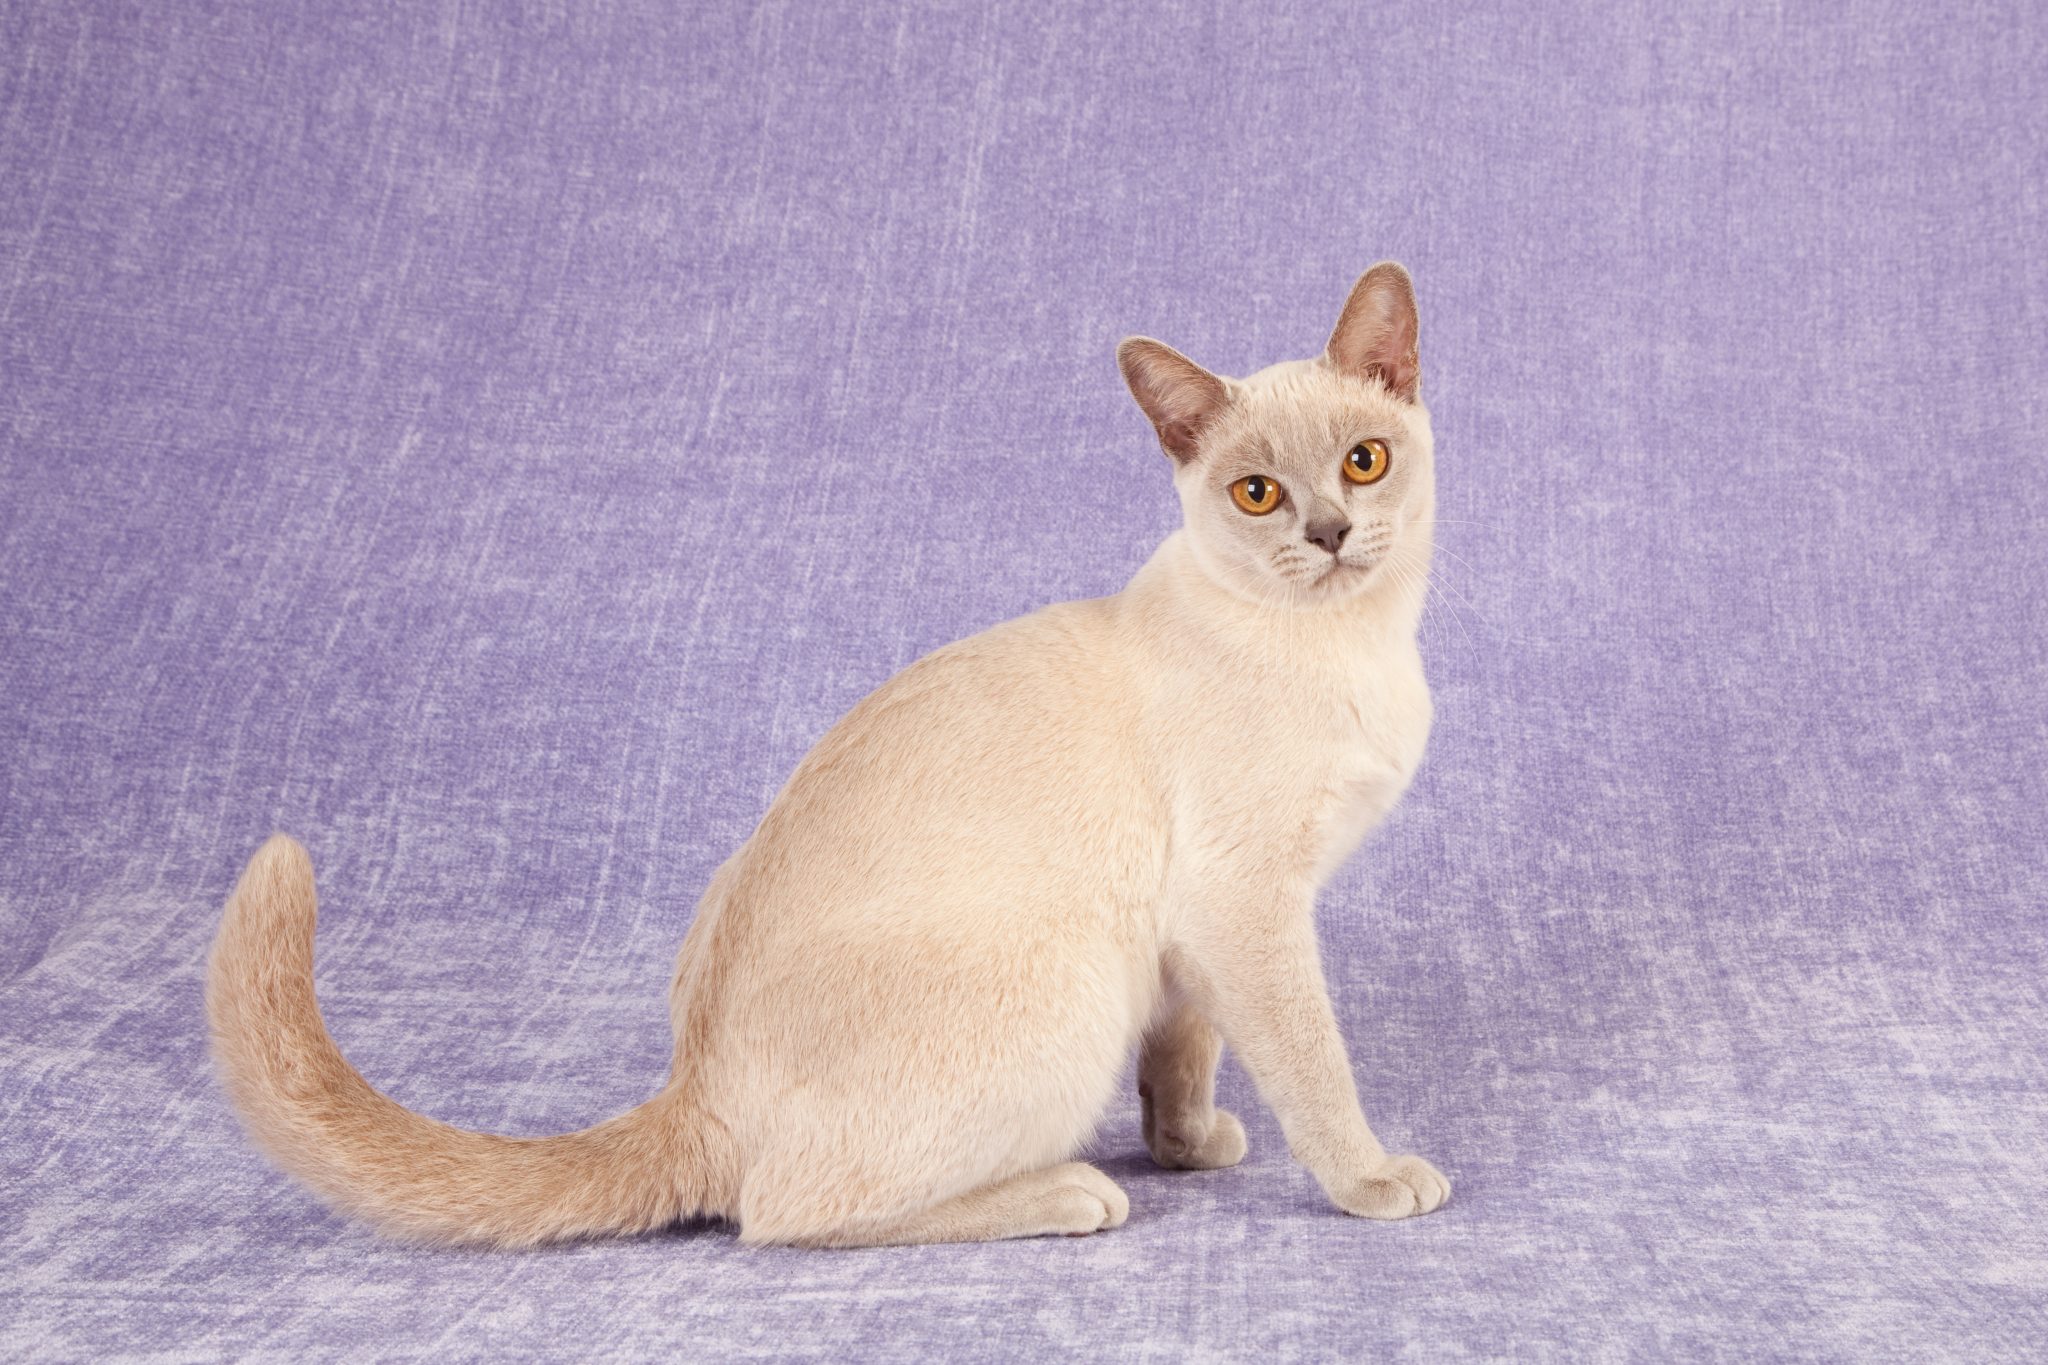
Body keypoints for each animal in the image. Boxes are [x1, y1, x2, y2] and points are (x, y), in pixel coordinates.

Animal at [207, 261, 1458, 1252]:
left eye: (1362, 462)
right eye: (1256, 493)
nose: (1328, 533)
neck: (1353, 647)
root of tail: (689, 1087)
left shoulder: (1193, 939)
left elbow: (1184, 1057)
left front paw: (1189, 1147)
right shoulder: (1242, 902)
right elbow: (1311, 1063)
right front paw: (1368, 1179)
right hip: (1065, 983)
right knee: (782, 1212)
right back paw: (1067, 1193)